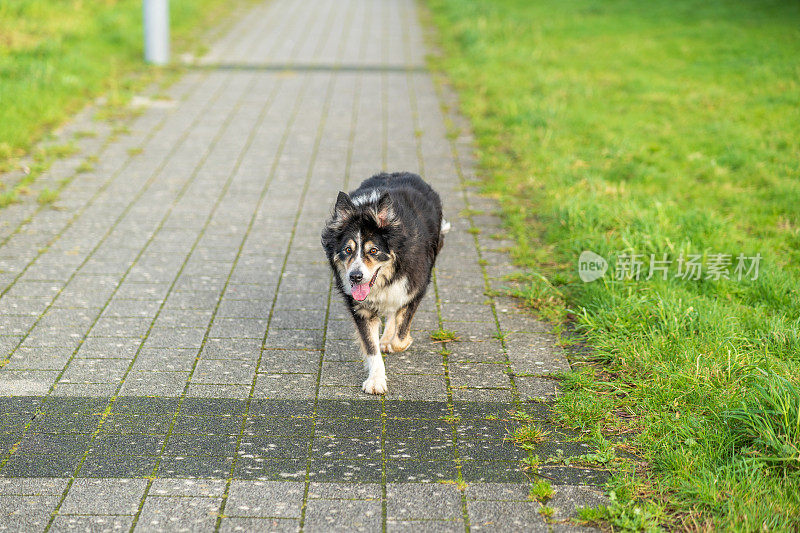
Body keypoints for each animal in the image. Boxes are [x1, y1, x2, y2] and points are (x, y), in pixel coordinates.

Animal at [324, 172, 450, 392]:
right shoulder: (360, 308)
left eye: (373, 250)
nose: (354, 277)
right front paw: (376, 380)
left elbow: (401, 332)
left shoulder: (415, 288)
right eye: (348, 250)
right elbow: (371, 347)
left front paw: (400, 342)